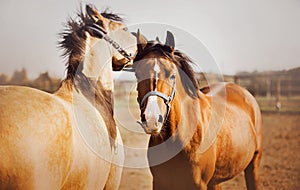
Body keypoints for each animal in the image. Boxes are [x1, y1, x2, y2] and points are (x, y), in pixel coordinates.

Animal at [134, 30, 262, 189]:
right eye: (137, 74)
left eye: (172, 75)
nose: (152, 119)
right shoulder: (158, 183)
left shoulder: (199, 184)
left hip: (253, 165)